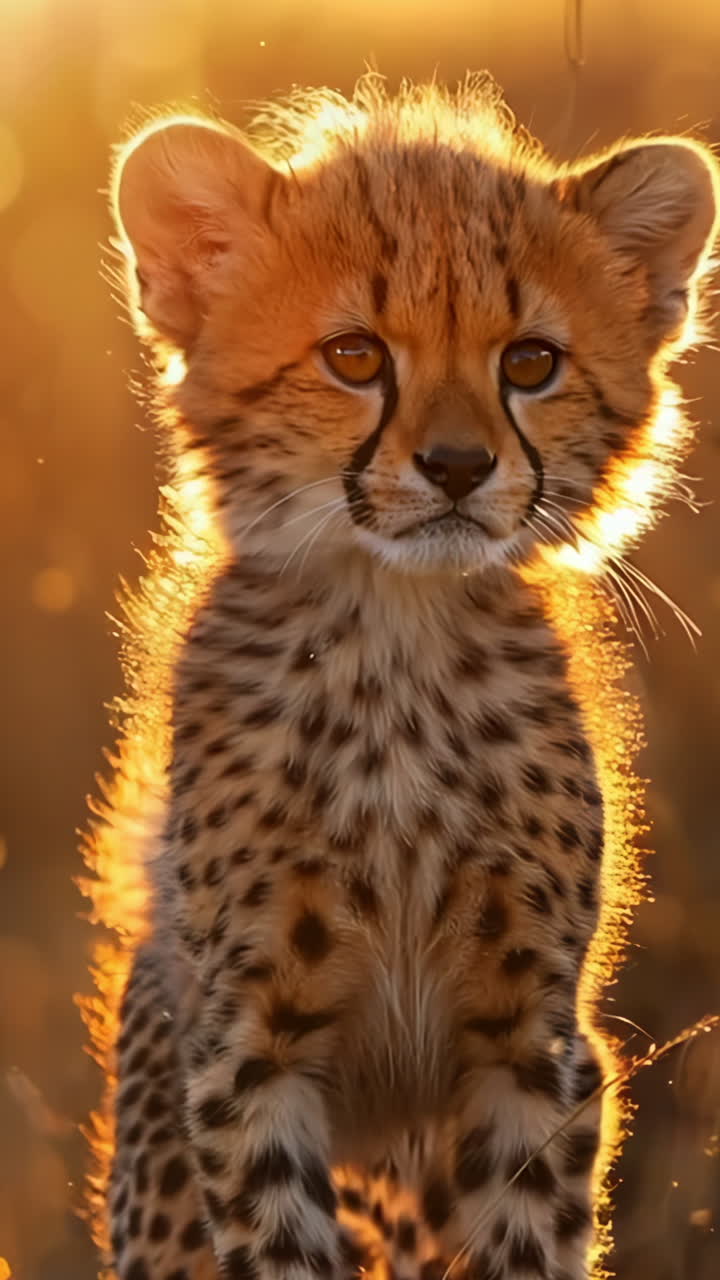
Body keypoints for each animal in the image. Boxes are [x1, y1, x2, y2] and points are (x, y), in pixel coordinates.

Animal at [96, 75, 718, 1280]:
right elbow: (281, 1244)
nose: (459, 466)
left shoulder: (534, 1048)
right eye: (354, 357)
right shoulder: (249, 1054)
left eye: (529, 363)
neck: (398, 639)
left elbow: (521, 1239)